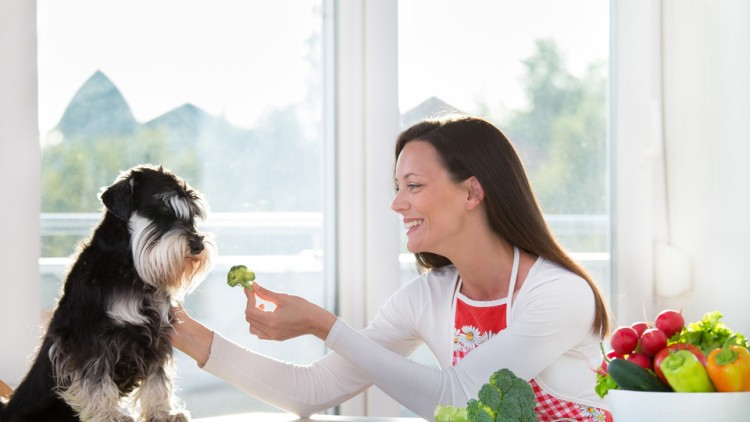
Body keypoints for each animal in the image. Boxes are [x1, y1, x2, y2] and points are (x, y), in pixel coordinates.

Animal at [0, 165, 214, 422]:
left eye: (191, 216)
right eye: (161, 209)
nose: (197, 245)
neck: (128, 267)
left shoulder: (158, 335)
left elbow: (158, 379)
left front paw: (162, 413)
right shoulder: (93, 336)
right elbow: (96, 379)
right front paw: (108, 414)